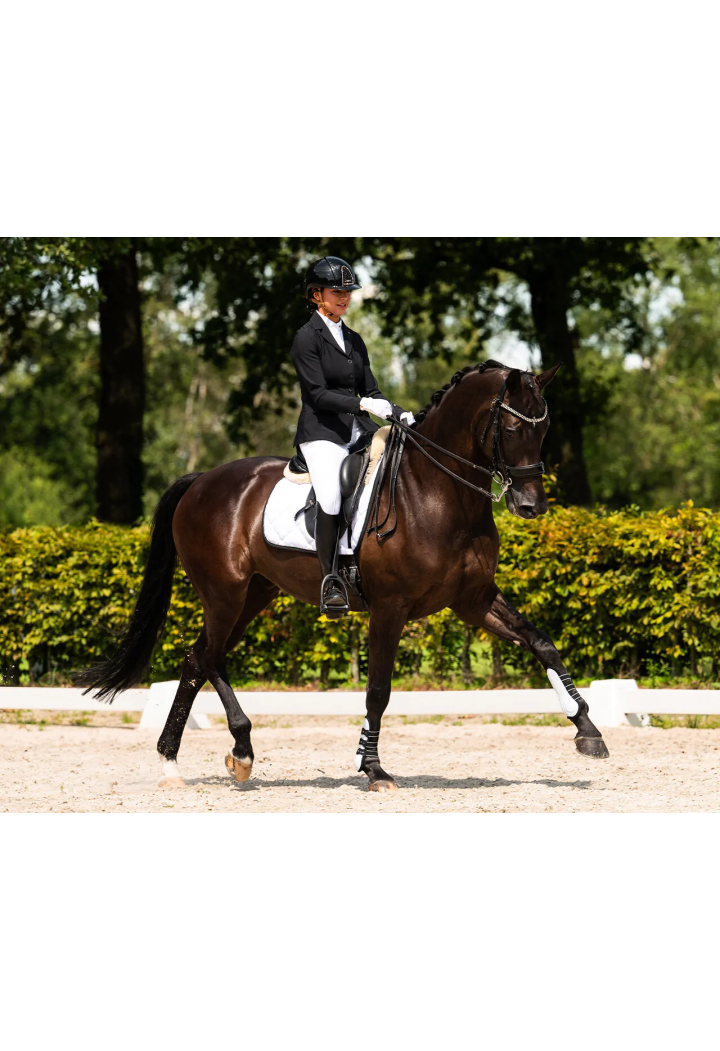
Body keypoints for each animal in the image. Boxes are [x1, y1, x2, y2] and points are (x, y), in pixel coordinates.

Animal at [79, 360, 609, 791]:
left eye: (543, 429)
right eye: (510, 427)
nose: (531, 506)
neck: (438, 492)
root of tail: (200, 481)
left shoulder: (473, 599)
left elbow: (541, 642)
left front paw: (588, 730)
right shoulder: (391, 608)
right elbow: (378, 689)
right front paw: (372, 768)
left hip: (254, 595)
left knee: (197, 659)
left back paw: (179, 762)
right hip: (224, 593)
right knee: (206, 657)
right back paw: (239, 750)